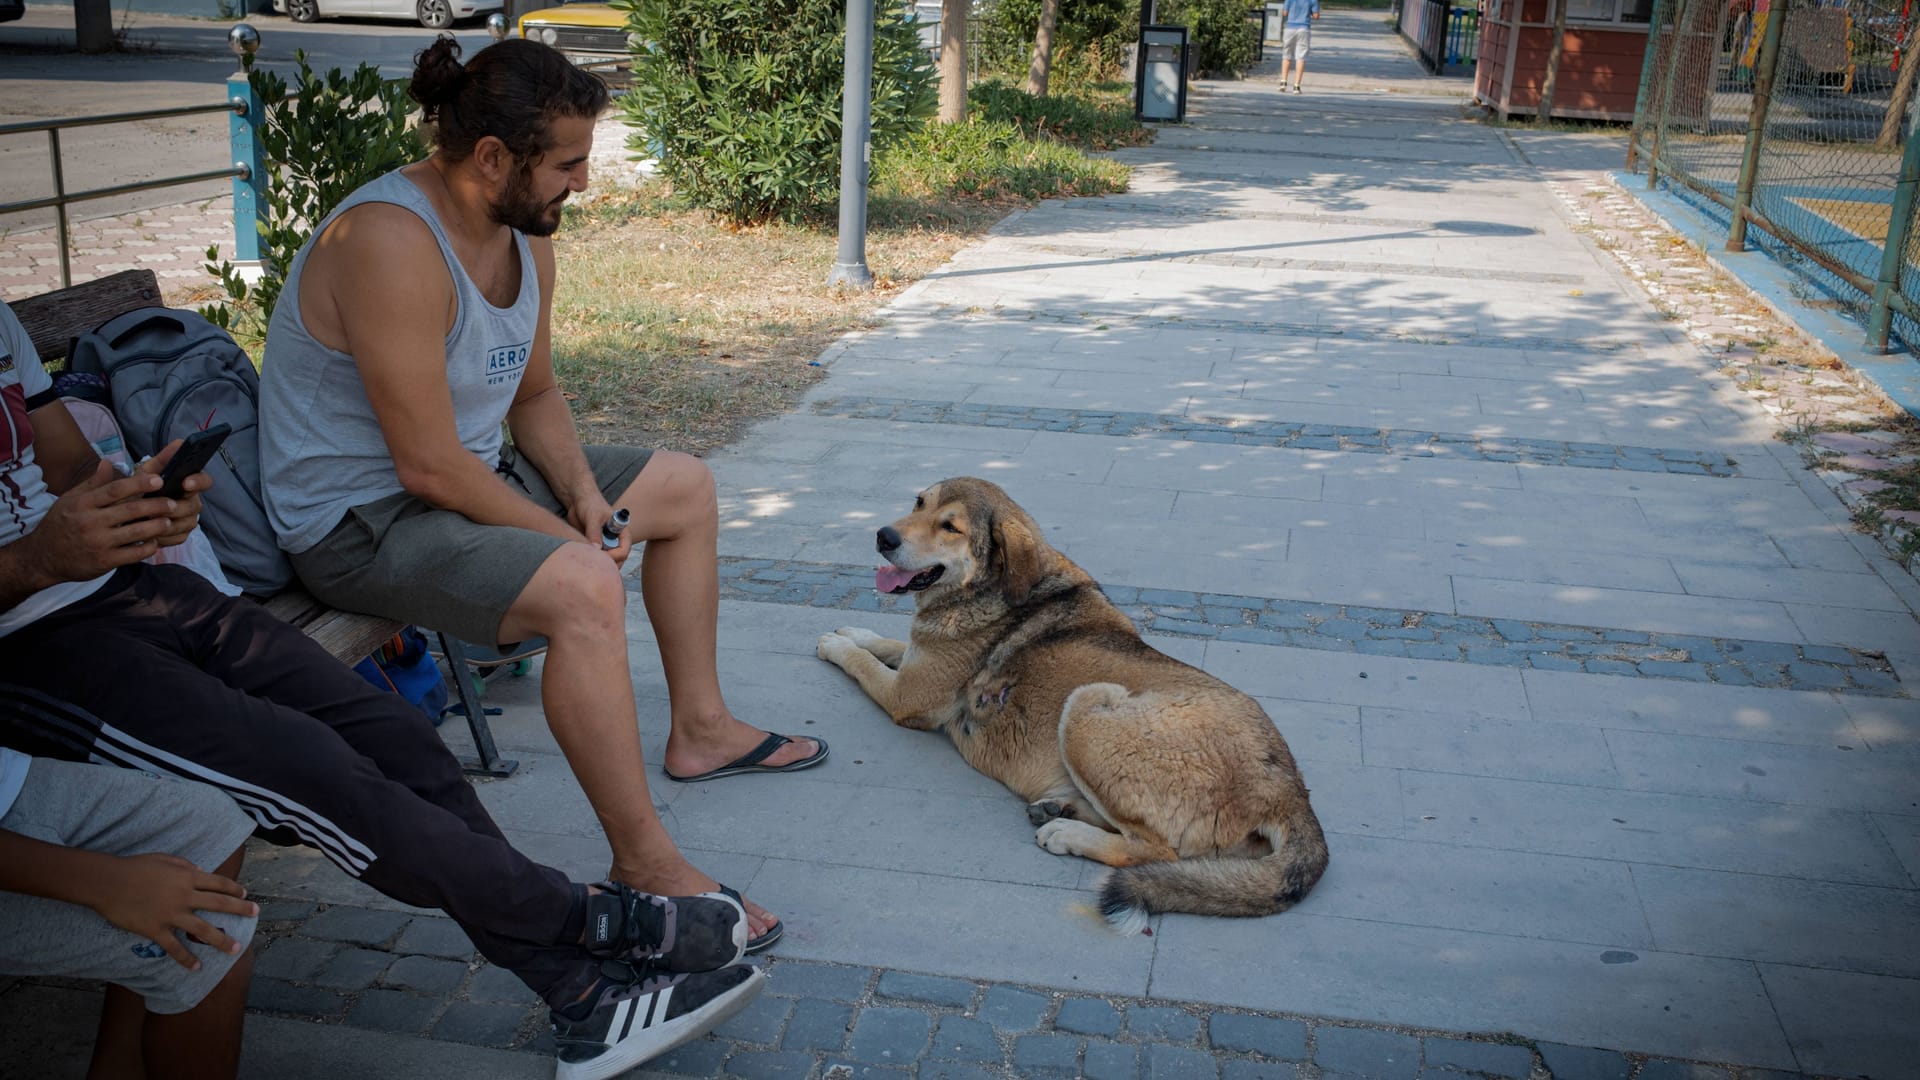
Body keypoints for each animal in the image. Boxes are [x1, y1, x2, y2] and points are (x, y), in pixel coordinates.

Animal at [810, 474, 1320, 930]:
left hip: (1086, 708)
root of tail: (1291, 791)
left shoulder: (906, 696)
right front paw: (855, 630)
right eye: (918, 502)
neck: (989, 591)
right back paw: (1061, 809)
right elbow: (886, 643)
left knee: (1156, 849)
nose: (883, 536)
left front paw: (837, 645)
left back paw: (1066, 832)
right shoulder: (916, 665)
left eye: (950, 527)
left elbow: (864, 664)